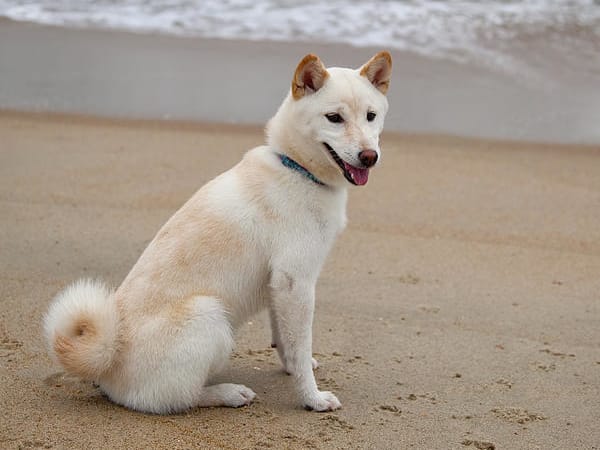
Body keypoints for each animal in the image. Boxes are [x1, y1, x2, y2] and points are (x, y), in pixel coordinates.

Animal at [43, 51, 390, 414]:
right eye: (334, 118)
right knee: (180, 398)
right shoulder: (296, 283)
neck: (296, 169)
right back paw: (229, 393)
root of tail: (108, 360)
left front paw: (296, 367)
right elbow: (299, 344)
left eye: (371, 116)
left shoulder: (279, 287)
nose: (369, 156)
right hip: (210, 316)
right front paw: (313, 398)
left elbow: (287, 343)